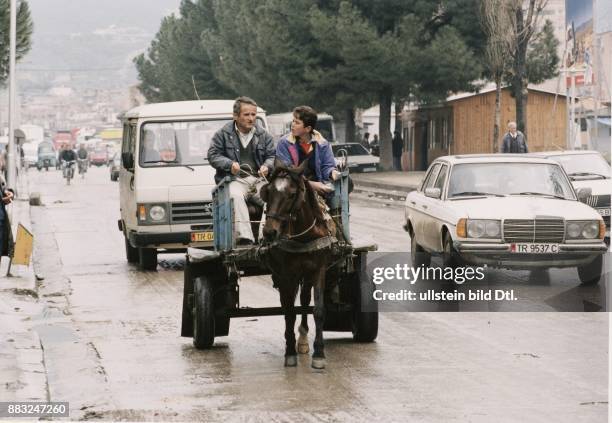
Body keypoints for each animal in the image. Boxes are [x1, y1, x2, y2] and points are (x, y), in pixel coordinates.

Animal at [258, 157, 334, 370]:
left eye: (292, 194)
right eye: (268, 192)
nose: (269, 232)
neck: (304, 237)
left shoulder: (318, 270)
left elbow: (318, 309)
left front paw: (319, 354)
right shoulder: (286, 275)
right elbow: (289, 312)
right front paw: (290, 352)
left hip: (305, 275)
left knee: (305, 299)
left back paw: (303, 338)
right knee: (288, 305)